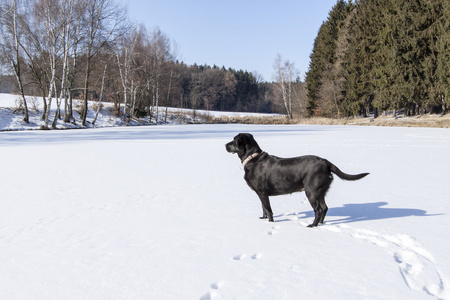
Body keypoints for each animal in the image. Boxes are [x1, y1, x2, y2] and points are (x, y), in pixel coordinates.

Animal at [225, 134, 370, 227]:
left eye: (234, 140)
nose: (225, 145)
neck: (252, 158)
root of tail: (326, 162)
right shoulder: (261, 193)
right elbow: (263, 208)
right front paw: (263, 218)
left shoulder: (262, 192)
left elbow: (268, 208)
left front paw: (270, 223)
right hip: (320, 191)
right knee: (324, 208)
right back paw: (321, 223)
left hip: (311, 191)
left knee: (318, 209)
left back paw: (313, 225)